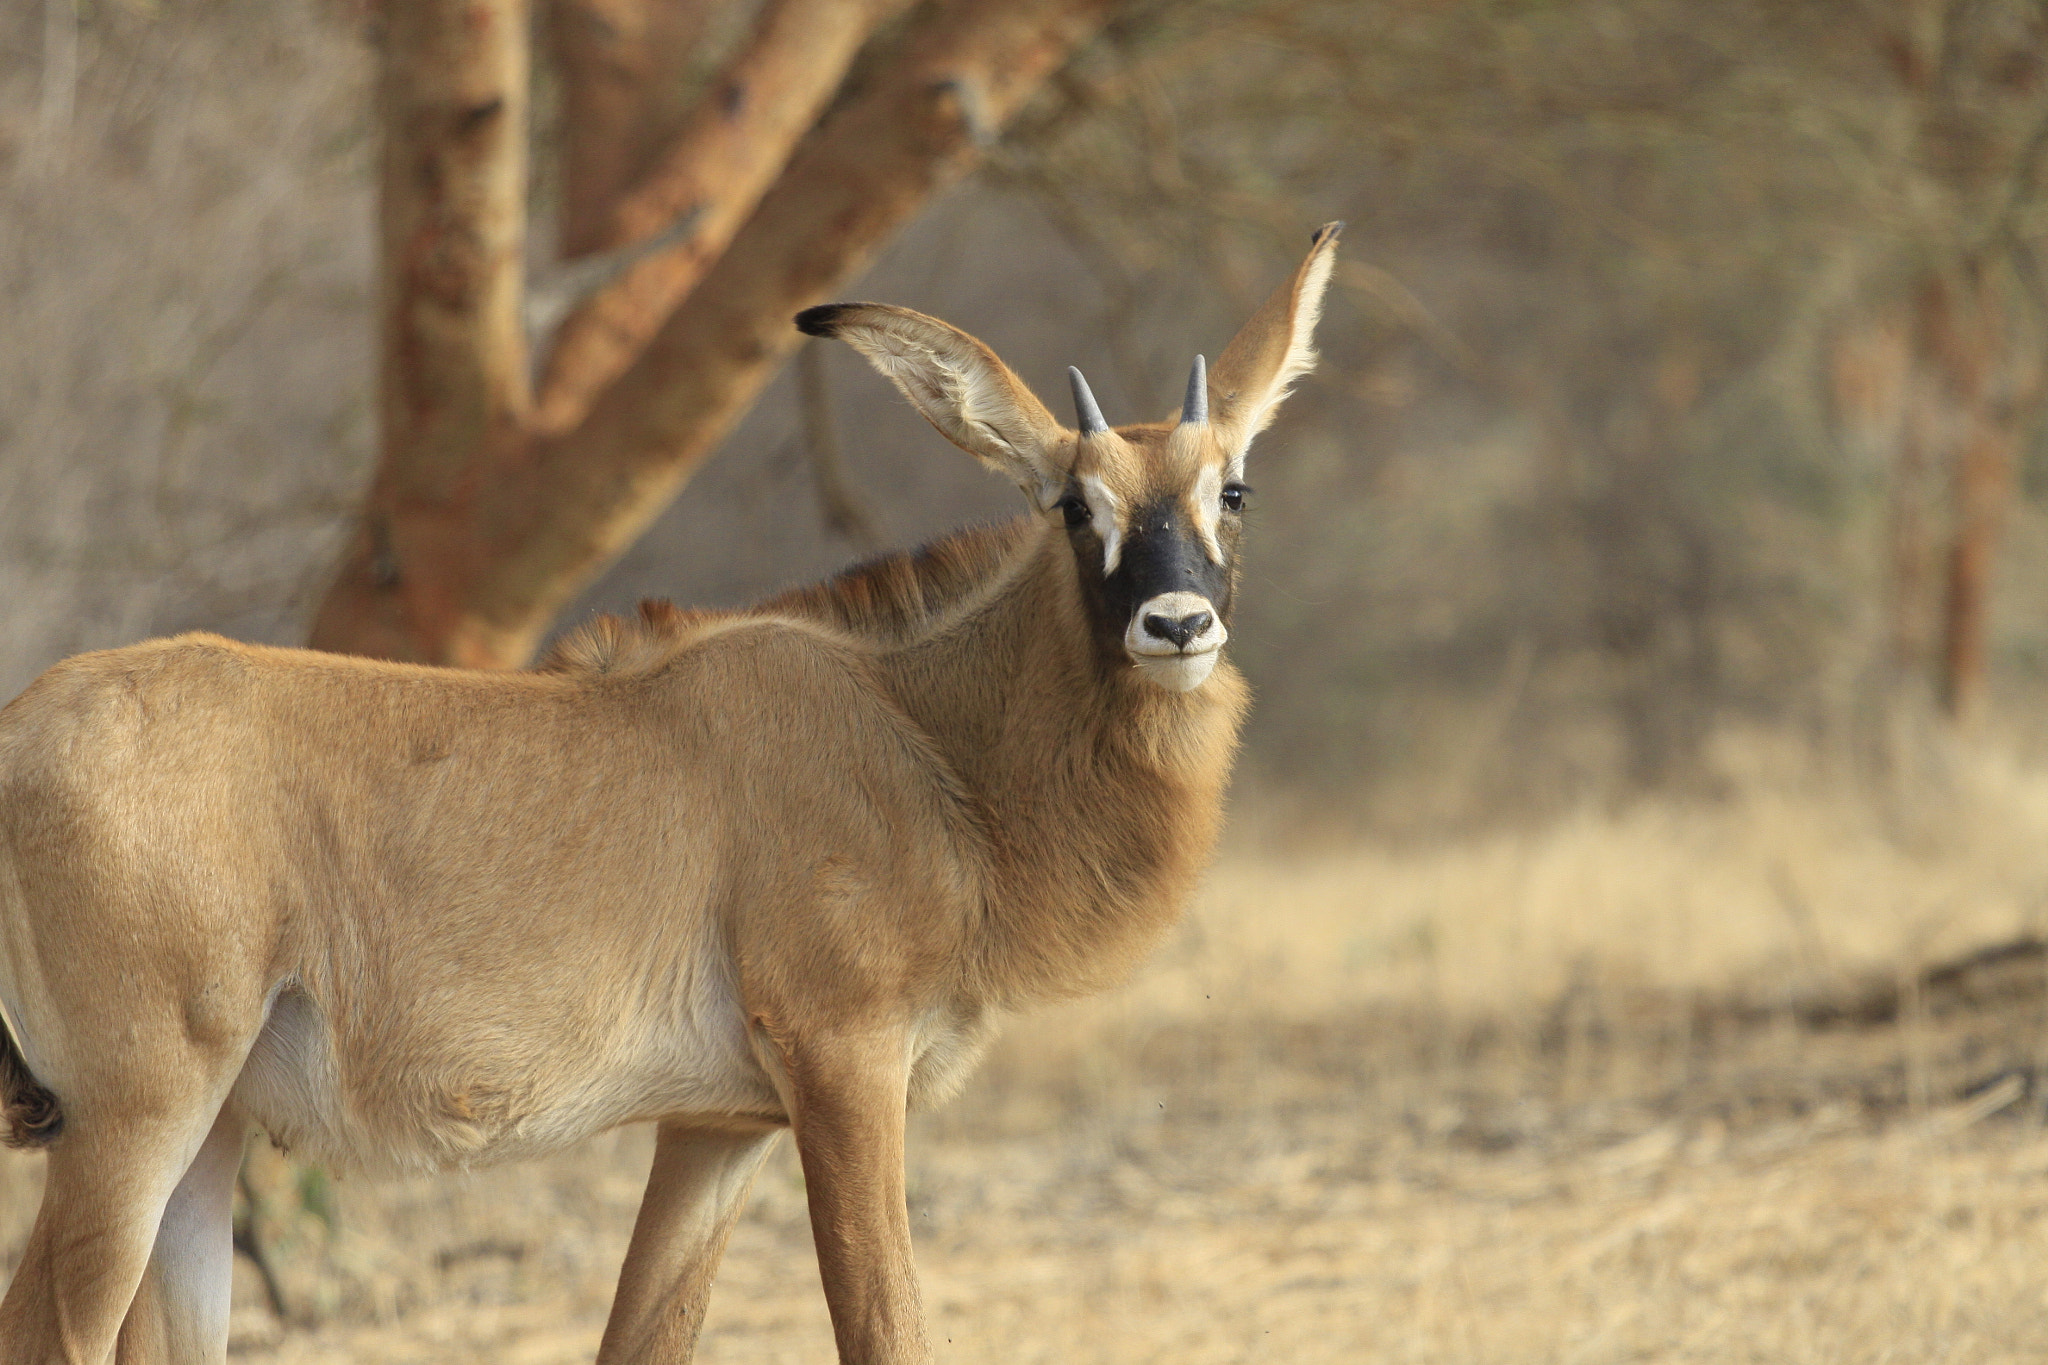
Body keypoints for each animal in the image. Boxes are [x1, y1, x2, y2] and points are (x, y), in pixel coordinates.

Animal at [0, 218, 1343, 1358]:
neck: (917, 733)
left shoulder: (718, 1131)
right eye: (1073, 504)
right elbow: (884, 1330)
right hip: (136, 1118)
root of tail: (15, 732)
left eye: (1231, 488)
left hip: (207, 1139)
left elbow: (646, 1337)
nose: (1176, 625)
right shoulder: (844, 1067)